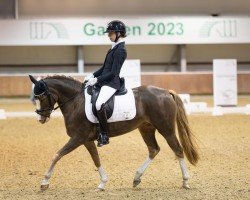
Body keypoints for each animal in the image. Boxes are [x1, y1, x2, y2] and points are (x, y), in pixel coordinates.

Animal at [28, 74, 199, 191]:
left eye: (41, 97)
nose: (40, 118)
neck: (75, 102)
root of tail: (165, 92)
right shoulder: (86, 140)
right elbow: (96, 159)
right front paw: (102, 183)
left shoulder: (78, 138)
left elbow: (57, 155)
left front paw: (44, 182)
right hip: (146, 128)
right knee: (153, 149)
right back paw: (136, 178)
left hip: (166, 129)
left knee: (178, 150)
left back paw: (185, 181)